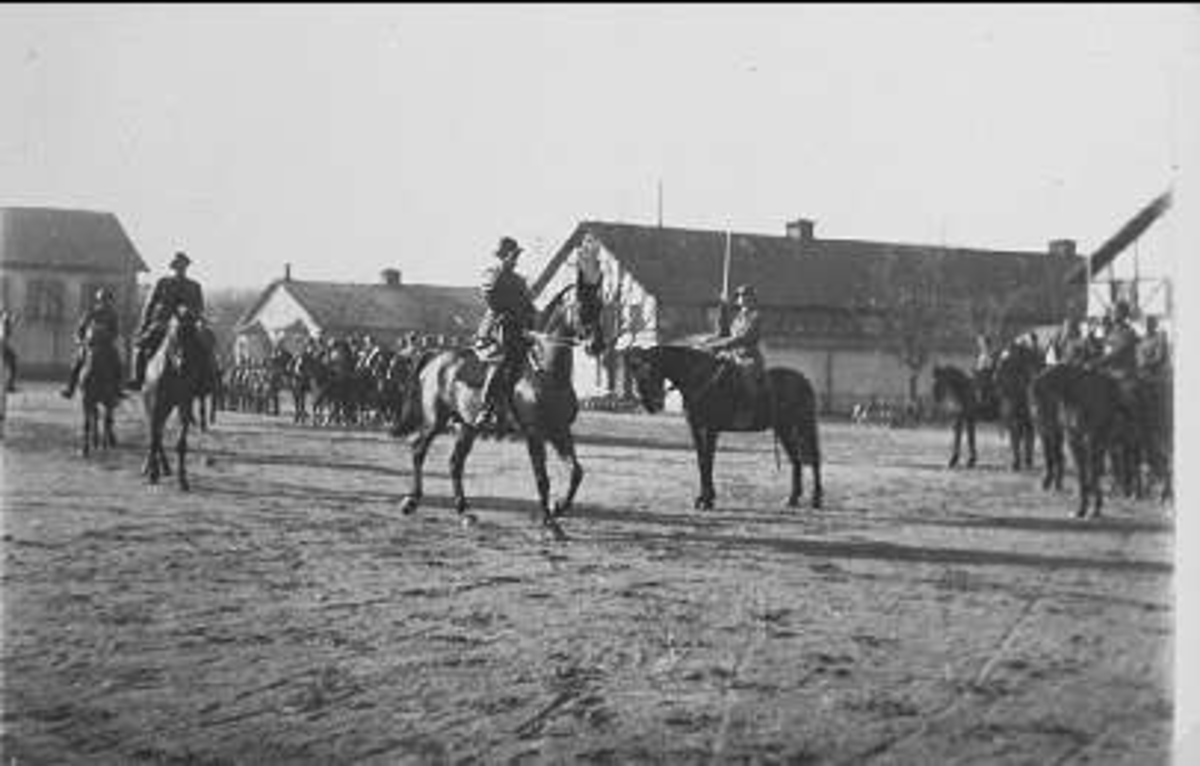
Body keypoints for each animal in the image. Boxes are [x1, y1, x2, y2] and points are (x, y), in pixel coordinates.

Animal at [141, 309, 213, 491]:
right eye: (174, 334)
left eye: (193, 335)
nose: (184, 364)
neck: (173, 372)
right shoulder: (156, 404)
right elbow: (154, 438)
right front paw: (153, 474)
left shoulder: (184, 404)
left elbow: (180, 443)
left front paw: (183, 479)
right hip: (154, 406)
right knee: (155, 434)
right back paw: (150, 467)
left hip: (169, 408)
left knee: (159, 433)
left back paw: (164, 468)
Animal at [389, 273, 605, 540]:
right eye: (582, 307)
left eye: (600, 306)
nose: (597, 345)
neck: (546, 372)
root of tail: (436, 356)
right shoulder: (534, 434)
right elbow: (542, 478)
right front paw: (550, 523)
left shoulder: (560, 431)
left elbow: (576, 472)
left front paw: (557, 507)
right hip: (435, 421)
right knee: (418, 449)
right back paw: (411, 501)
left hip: (467, 426)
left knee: (455, 462)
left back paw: (464, 511)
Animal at [622, 344, 822, 511]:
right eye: (635, 376)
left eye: (647, 373)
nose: (651, 406)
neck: (699, 378)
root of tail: (803, 380)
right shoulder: (696, 429)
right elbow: (701, 462)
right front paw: (703, 498)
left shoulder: (710, 430)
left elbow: (708, 461)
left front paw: (707, 500)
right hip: (784, 429)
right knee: (796, 460)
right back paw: (792, 499)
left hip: (804, 425)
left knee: (814, 459)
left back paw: (816, 499)